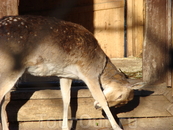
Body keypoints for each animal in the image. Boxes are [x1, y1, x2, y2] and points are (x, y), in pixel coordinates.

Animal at [0, 15, 145, 130]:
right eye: (120, 96)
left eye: (122, 103)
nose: (96, 108)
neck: (100, 67)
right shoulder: (89, 73)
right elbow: (101, 99)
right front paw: (116, 127)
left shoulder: (65, 76)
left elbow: (66, 99)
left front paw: (64, 127)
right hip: (10, 67)